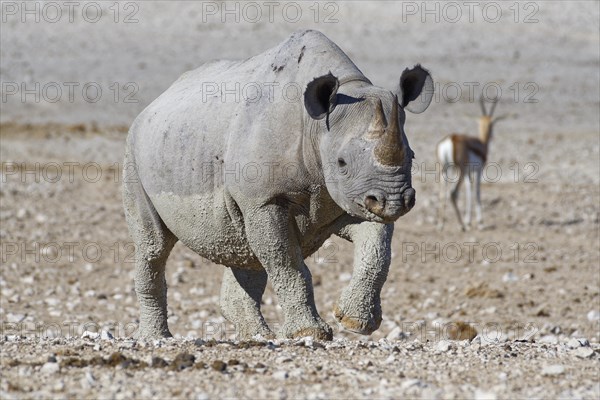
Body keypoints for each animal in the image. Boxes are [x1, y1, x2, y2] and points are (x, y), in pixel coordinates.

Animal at [436, 95, 506, 230]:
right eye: (492, 124)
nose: (492, 135)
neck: (481, 144)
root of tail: (451, 138)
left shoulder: (469, 173)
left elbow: (469, 191)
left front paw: (469, 220)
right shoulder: (478, 171)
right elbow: (477, 191)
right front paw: (480, 223)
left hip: (444, 170)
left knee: (442, 194)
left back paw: (441, 224)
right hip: (460, 171)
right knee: (453, 193)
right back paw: (462, 226)